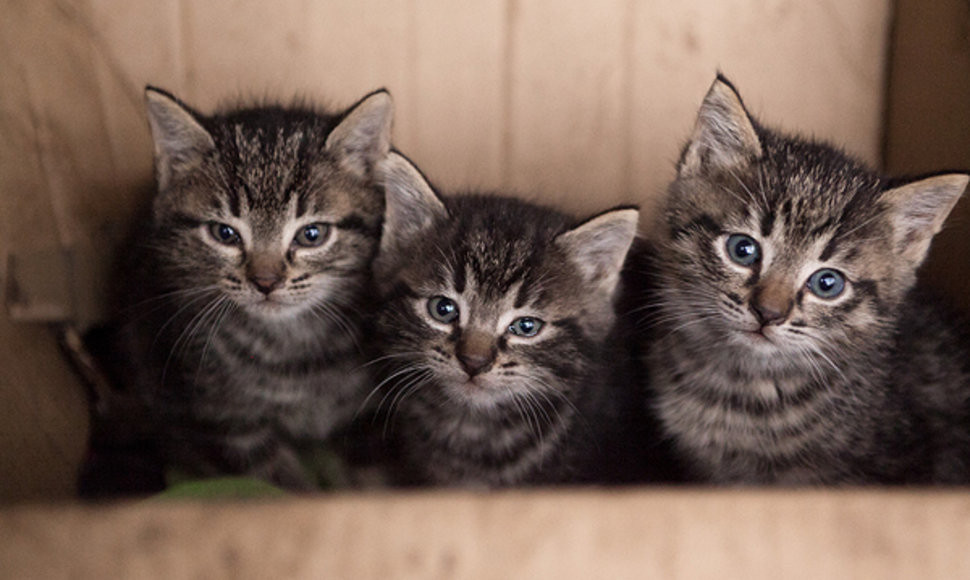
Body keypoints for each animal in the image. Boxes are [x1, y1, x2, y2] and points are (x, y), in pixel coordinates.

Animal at [95, 88, 390, 492]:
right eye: (225, 234)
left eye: (312, 234)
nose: (266, 282)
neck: (292, 348)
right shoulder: (230, 425)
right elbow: (280, 483)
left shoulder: (369, 412)